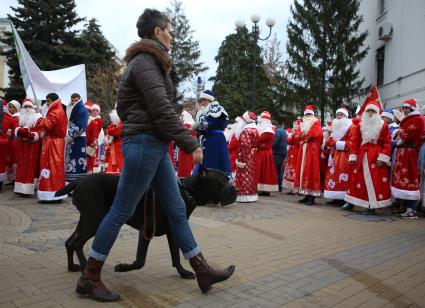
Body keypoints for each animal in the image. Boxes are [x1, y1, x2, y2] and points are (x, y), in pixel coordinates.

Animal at [54, 166, 237, 280]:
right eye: (222, 181)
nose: (235, 190)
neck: (185, 193)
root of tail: (79, 181)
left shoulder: (173, 232)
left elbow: (176, 256)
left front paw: (184, 273)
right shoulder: (146, 231)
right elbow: (140, 261)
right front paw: (123, 267)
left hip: (86, 220)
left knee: (70, 242)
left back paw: (72, 267)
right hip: (95, 221)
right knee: (77, 243)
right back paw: (85, 267)